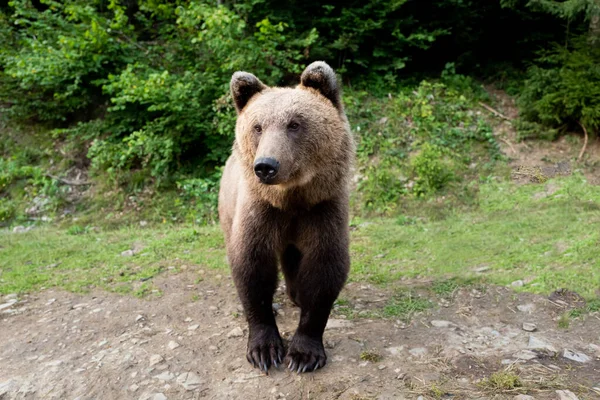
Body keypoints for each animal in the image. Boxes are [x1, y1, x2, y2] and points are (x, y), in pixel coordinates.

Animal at [218, 61, 354, 374]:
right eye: (257, 126)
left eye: (294, 123)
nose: (266, 165)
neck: (291, 199)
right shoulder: (260, 212)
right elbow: (251, 266)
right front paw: (264, 349)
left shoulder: (322, 210)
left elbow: (324, 267)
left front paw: (304, 354)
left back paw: (296, 294)